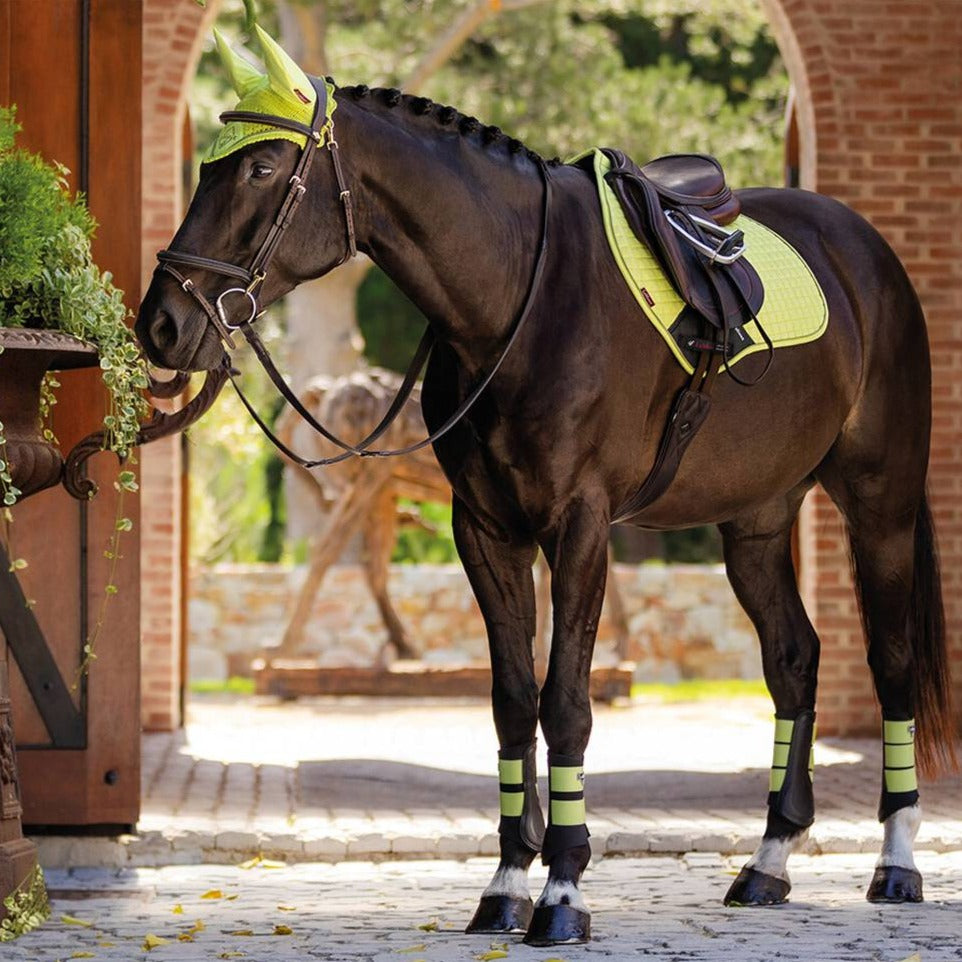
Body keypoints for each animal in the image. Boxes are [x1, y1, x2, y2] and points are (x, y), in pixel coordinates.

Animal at [136, 26, 955, 947]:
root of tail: (866, 251)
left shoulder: (580, 527)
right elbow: (510, 699)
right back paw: (768, 861)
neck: (515, 303)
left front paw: (563, 891)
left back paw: (897, 863)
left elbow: (565, 702)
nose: (161, 322)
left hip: (879, 503)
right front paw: (504, 885)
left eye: (263, 168)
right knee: (794, 660)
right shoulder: (486, 530)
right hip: (755, 523)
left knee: (890, 660)